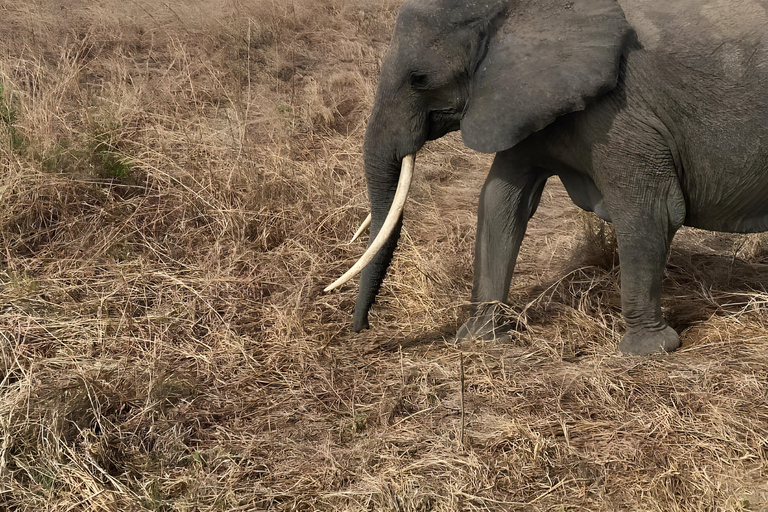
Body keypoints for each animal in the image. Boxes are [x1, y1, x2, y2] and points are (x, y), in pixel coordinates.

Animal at [326, 0, 768, 356]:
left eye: (419, 79)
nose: (361, 330)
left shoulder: (620, 114)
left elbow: (649, 212)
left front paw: (647, 352)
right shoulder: (519, 102)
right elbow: (499, 203)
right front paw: (479, 341)